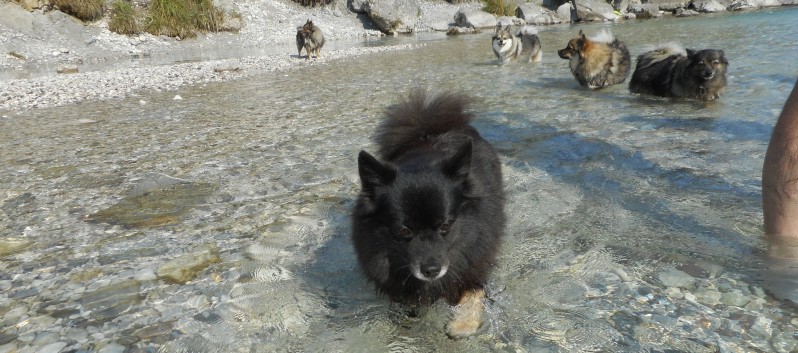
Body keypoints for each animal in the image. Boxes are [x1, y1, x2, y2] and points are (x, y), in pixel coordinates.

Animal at [352, 89, 506, 336]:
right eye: (403, 231)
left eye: (445, 226)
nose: (431, 270)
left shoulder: (474, 262)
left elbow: (472, 292)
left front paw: (463, 325)